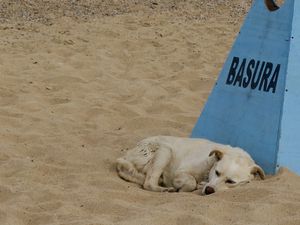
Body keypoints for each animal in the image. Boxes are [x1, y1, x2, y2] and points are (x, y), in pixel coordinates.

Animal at [116, 136, 264, 194]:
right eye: (217, 172)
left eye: (231, 181)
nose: (209, 190)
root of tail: (128, 153)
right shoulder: (180, 172)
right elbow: (191, 182)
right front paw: (184, 188)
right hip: (165, 150)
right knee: (148, 183)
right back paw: (165, 189)